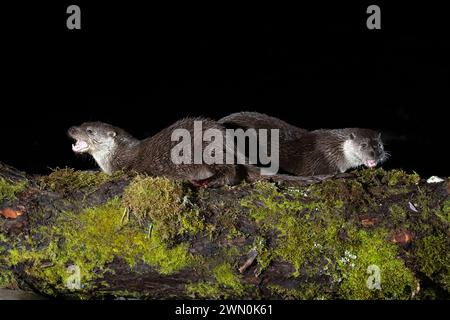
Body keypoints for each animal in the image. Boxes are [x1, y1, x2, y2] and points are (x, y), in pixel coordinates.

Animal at [67, 118, 250, 188]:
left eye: (89, 131)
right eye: (81, 124)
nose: (72, 128)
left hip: (205, 150)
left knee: (230, 170)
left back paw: (206, 181)